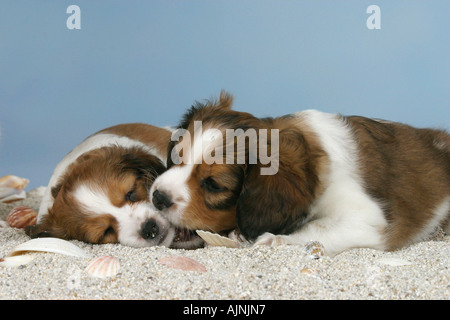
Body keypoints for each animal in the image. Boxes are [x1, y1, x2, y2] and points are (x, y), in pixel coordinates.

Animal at [149, 92, 448, 255]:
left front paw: (273, 239)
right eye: (176, 158)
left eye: (213, 185)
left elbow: (316, 227)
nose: (157, 197)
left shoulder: (368, 220)